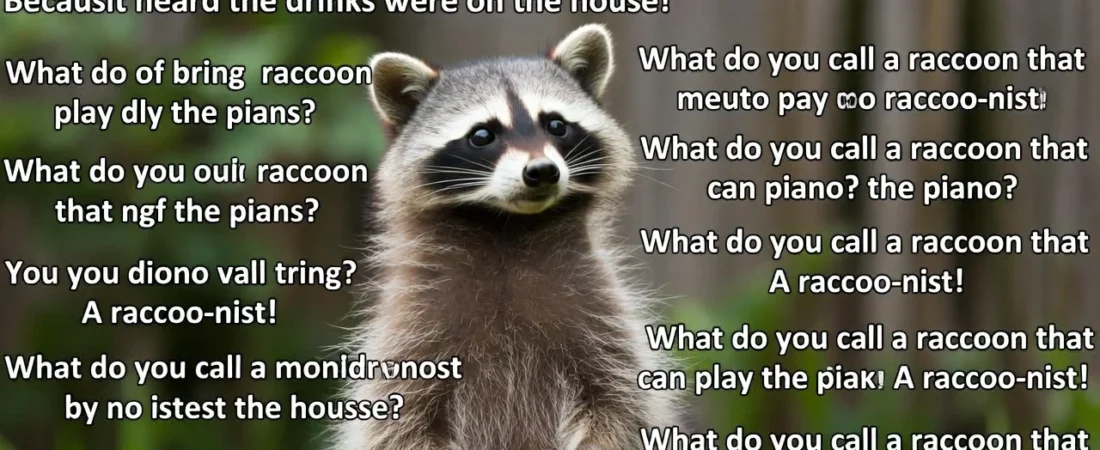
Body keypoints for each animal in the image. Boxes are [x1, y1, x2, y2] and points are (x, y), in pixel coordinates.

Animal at [333, 24, 681, 450]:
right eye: (482, 135)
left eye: (556, 125)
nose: (543, 171)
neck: (509, 227)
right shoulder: (409, 334)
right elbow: (400, 423)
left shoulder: (606, 318)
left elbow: (619, 405)